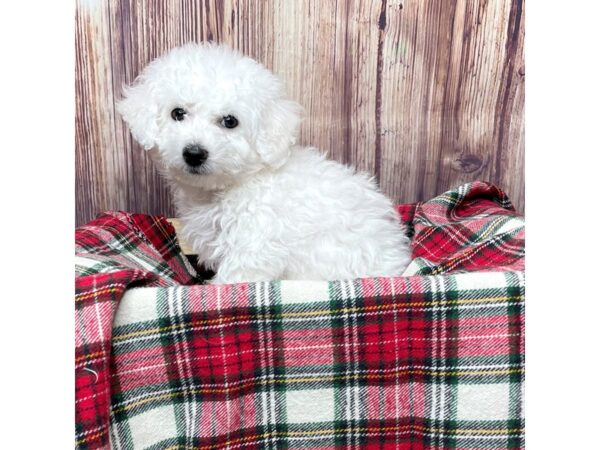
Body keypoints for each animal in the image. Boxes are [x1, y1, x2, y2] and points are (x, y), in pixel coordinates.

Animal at [116, 41, 412, 282]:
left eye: (230, 121)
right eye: (177, 113)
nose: (194, 153)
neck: (230, 187)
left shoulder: (253, 248)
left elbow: (233, 280)